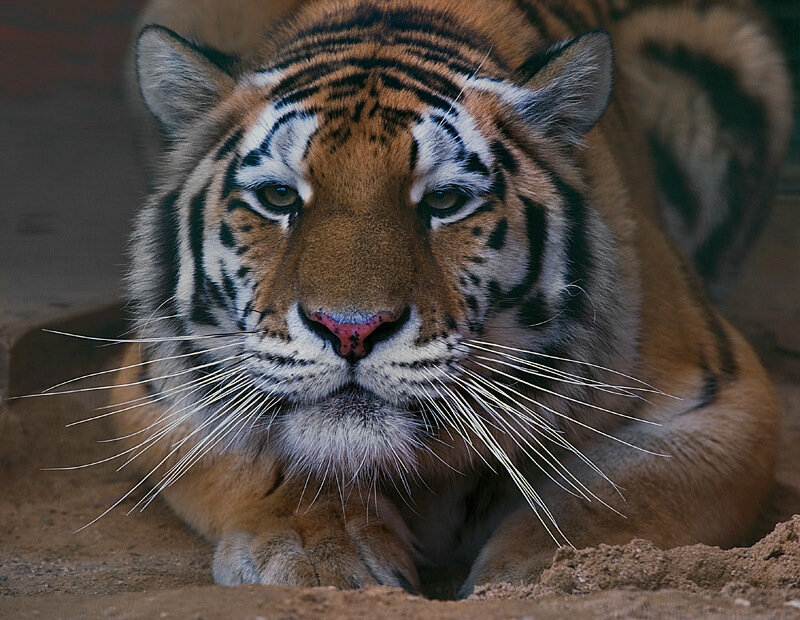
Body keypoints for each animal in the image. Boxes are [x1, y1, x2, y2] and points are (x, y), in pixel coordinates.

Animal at [110, 0, 792, 595]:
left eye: (443, 201)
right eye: (279, 197)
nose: (350, 330)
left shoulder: (722, 400)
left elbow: (609, 495)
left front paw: (552, 573)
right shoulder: (154, 387)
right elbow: (263, 456)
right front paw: (317, 551)